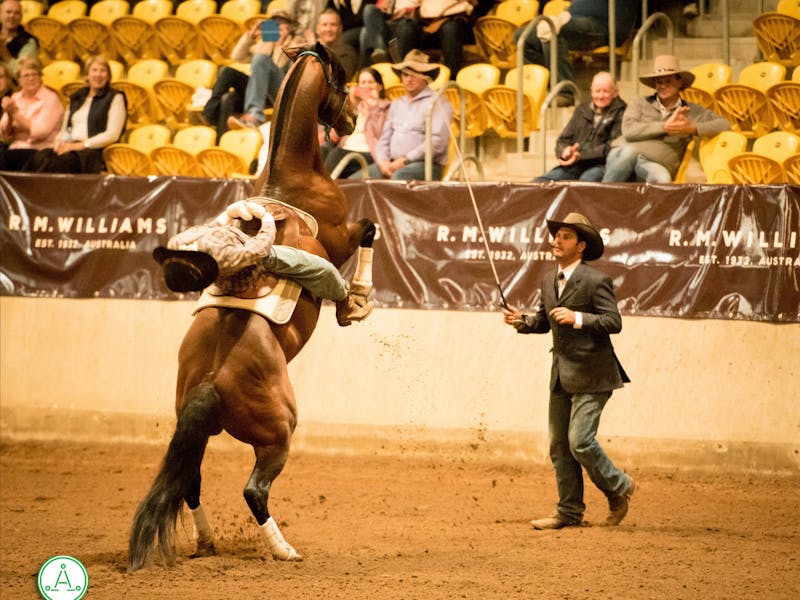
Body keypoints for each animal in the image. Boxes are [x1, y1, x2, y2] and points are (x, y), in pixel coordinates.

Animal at [128, 42, 375, 571]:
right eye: (344, 84)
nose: (352, 119)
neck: (291, 182)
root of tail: (210, 381)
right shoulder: (342, 239)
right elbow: (368, 230)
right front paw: (356, 302)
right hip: (279, 431)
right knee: (253, 491)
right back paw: (284, 550)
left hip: (196, 431)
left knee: (190, 484)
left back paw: (206, 542)